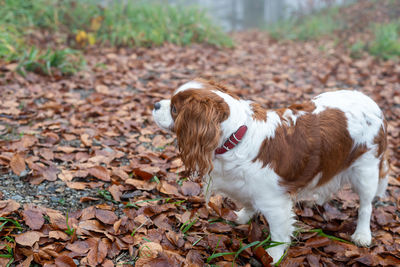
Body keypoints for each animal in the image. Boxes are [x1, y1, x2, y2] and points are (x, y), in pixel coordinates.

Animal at [152, 78, 388, 262]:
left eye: (174, 109)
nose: (155, 104)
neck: (237, 135)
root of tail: (372, 103)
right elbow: (248, 202)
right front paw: (242, 216)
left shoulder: (275, 203)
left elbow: (279, 233)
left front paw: (273, 255)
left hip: (366, 171)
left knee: (366, 206)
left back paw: (362, 234)